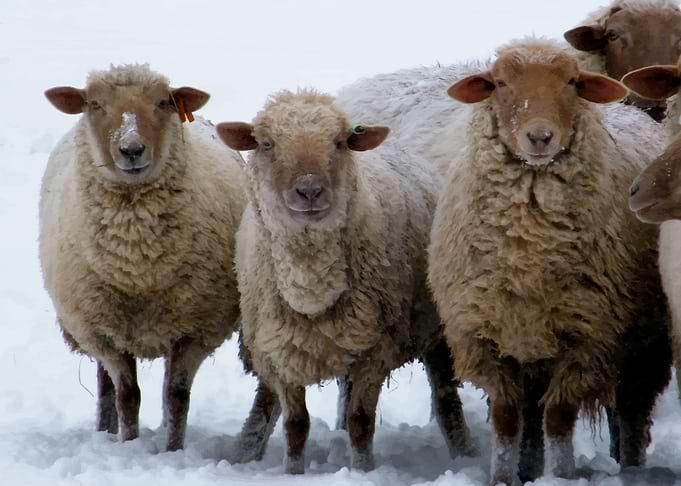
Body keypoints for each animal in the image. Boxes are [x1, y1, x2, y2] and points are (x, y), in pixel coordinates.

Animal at [41, 64, 247, 452]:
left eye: (164, 102)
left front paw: (173, 450)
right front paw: (129, 444)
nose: (132, 150)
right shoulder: (102, 330)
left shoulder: (196, 328)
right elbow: (127, 395)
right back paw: (105, 431)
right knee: (105, 384)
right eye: (94, 104)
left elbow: (177, 395)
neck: (139, 265)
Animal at [215, 89, 474, 474]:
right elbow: (296, 426)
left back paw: (464, 452)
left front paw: (363, 470)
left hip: (433, 330)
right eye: (266, 143)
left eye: (340, 142)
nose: (309, 190)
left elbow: (360, 422)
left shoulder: (376, 350)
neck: (310, 285)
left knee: (445, 400)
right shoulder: (281, 354)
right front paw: (293, 473)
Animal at [428, 39, 671, 485]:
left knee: (630, 413)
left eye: (573, 82)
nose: (539, 137)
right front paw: (503, 478)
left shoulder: (587, 336)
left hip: (644, 347)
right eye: (499, 83)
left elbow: (558, 419)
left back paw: (631, 466)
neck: (529, 247)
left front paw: (561, 475)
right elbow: (507, 419)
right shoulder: (487, 333)